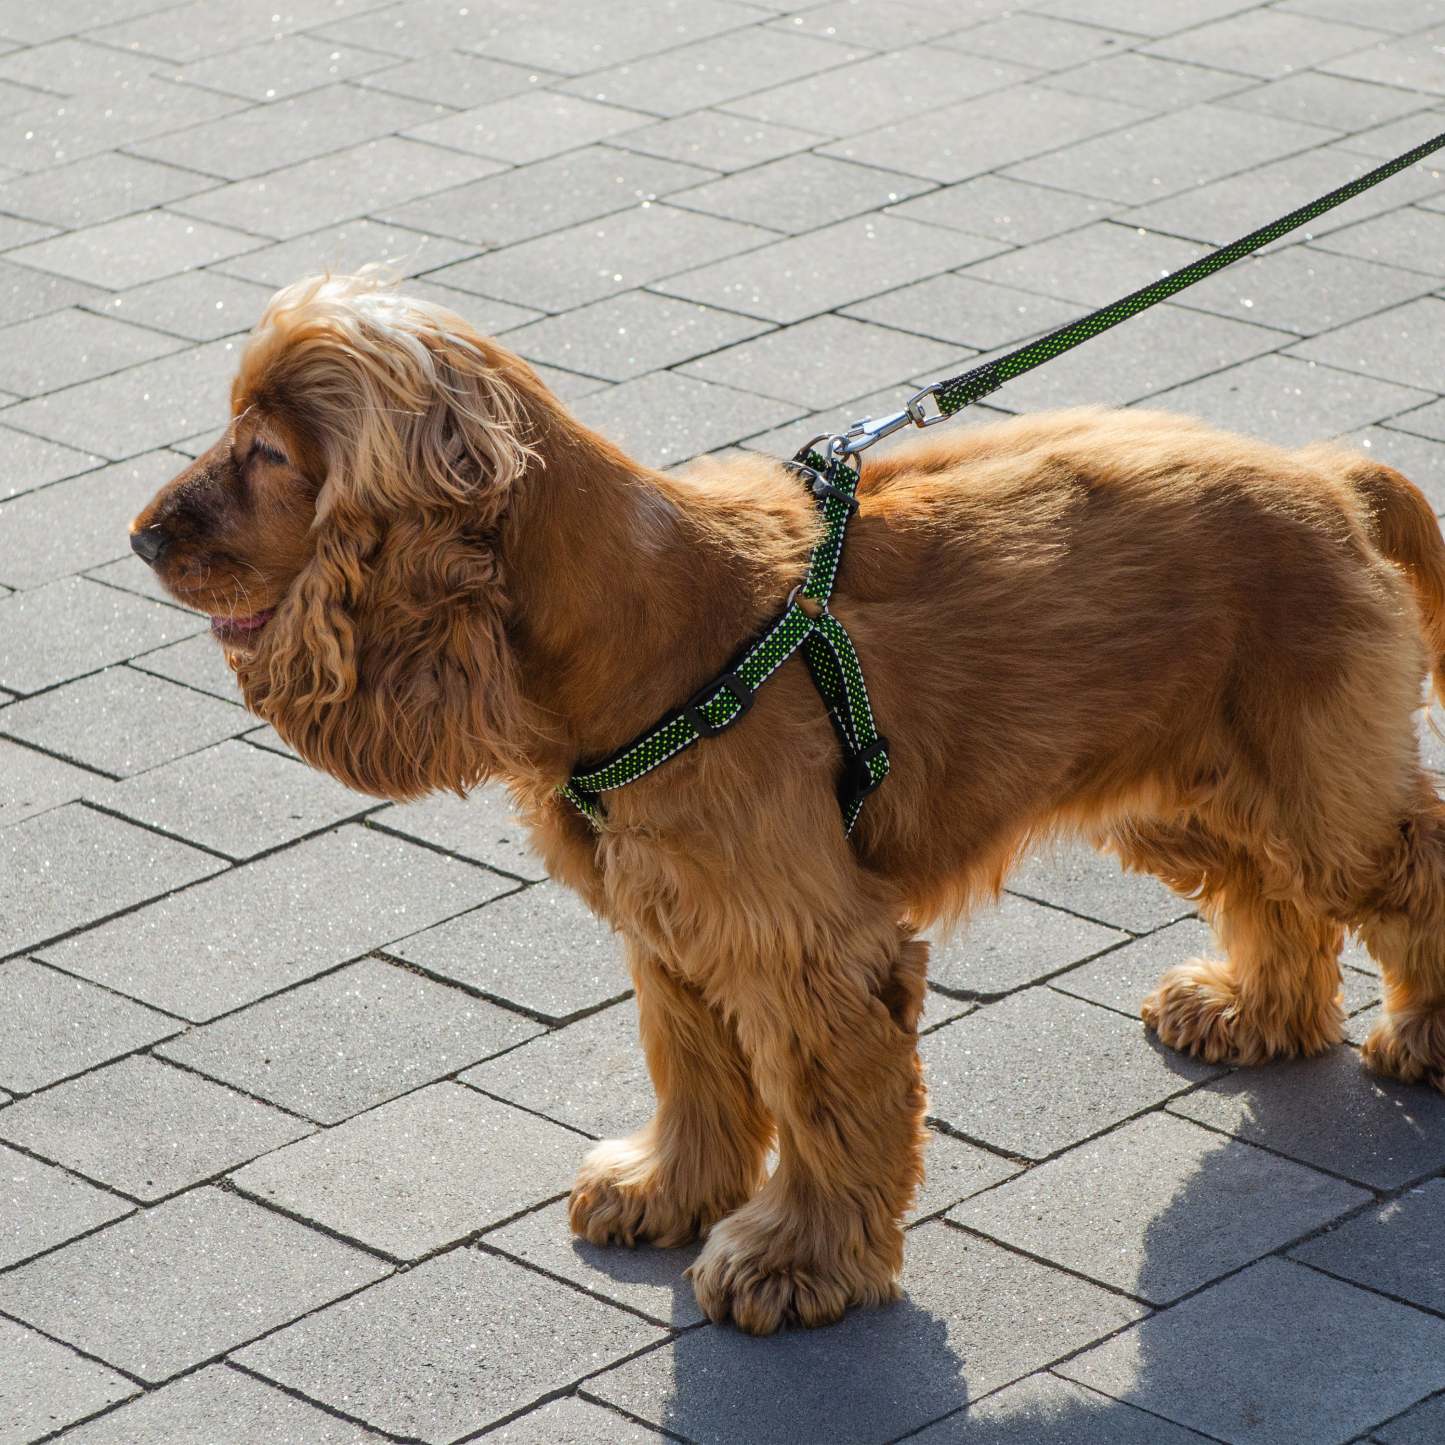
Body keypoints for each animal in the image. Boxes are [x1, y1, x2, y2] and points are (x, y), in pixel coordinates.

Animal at [130, 270, 1445, 1334]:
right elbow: (692, 1070)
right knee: (1269, 887)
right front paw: (665, 1189)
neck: (640, 631)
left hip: (1314, 786)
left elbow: (822, 1109)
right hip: (1186, 785)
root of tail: (1329, 471)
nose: (139, 535)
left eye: (268, 452)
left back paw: (1423, 1035)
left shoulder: (807, 943)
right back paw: (1251, 1011)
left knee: (1408, 864)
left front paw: (793, 1262)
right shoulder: (673, 923)